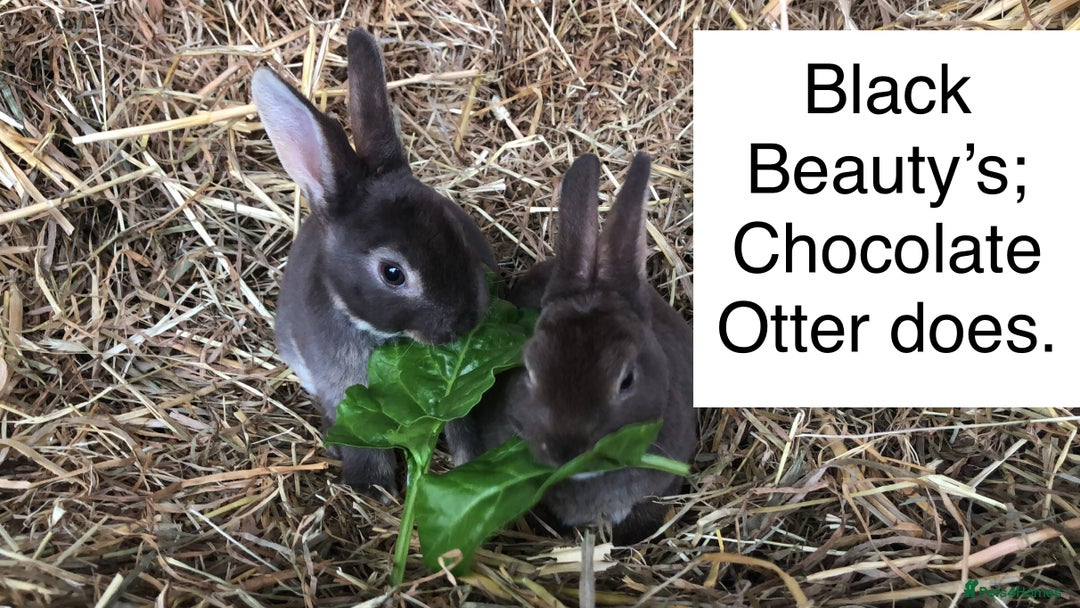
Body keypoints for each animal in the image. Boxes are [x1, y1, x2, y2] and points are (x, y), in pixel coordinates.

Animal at [251, 28, 496, 497]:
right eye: (393, 273)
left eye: (453, 224)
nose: (464, 324)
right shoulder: (344, 395)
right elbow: (361, 441)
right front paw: (374, 489)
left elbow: (462, 421)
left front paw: (467, 463)